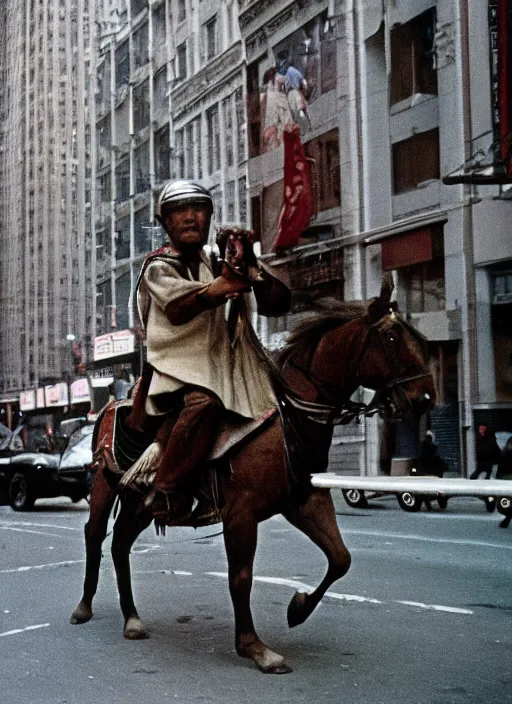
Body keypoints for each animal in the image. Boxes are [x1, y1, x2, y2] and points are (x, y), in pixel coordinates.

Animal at [70, 278, 434, 672]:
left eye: (418, 336)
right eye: (393, 338)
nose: (425, 398)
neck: (289, 419)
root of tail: (109, 406)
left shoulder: (306, 501)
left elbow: (340, 558)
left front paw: (298, 608)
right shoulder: (240, 513)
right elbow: (241, 578)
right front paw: (254, 647)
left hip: (139, 504)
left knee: (120, 543)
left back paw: (132, 619)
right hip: (104, 487)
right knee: (94, 534)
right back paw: (84, 607)